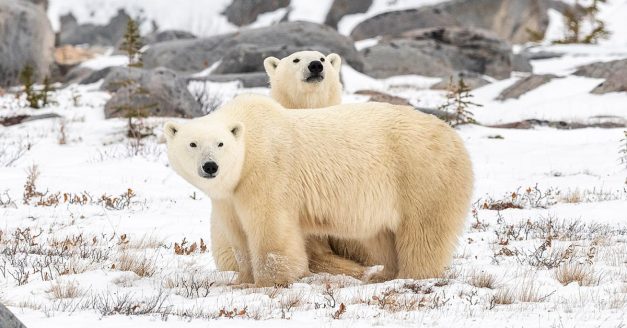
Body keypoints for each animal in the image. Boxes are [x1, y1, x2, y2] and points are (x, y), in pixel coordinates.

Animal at [164, 95, 474, 288]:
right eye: (192, 143)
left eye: (220, 143)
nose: (210, 166)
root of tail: (453, 135)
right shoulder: (229, 196)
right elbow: (238, 235)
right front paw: (241, 279)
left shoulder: (267, 171)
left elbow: (270, 229)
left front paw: (268, 282)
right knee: (382, 235)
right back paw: (383, 274)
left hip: (420, 174)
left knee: (423, 232)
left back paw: (411, 275)